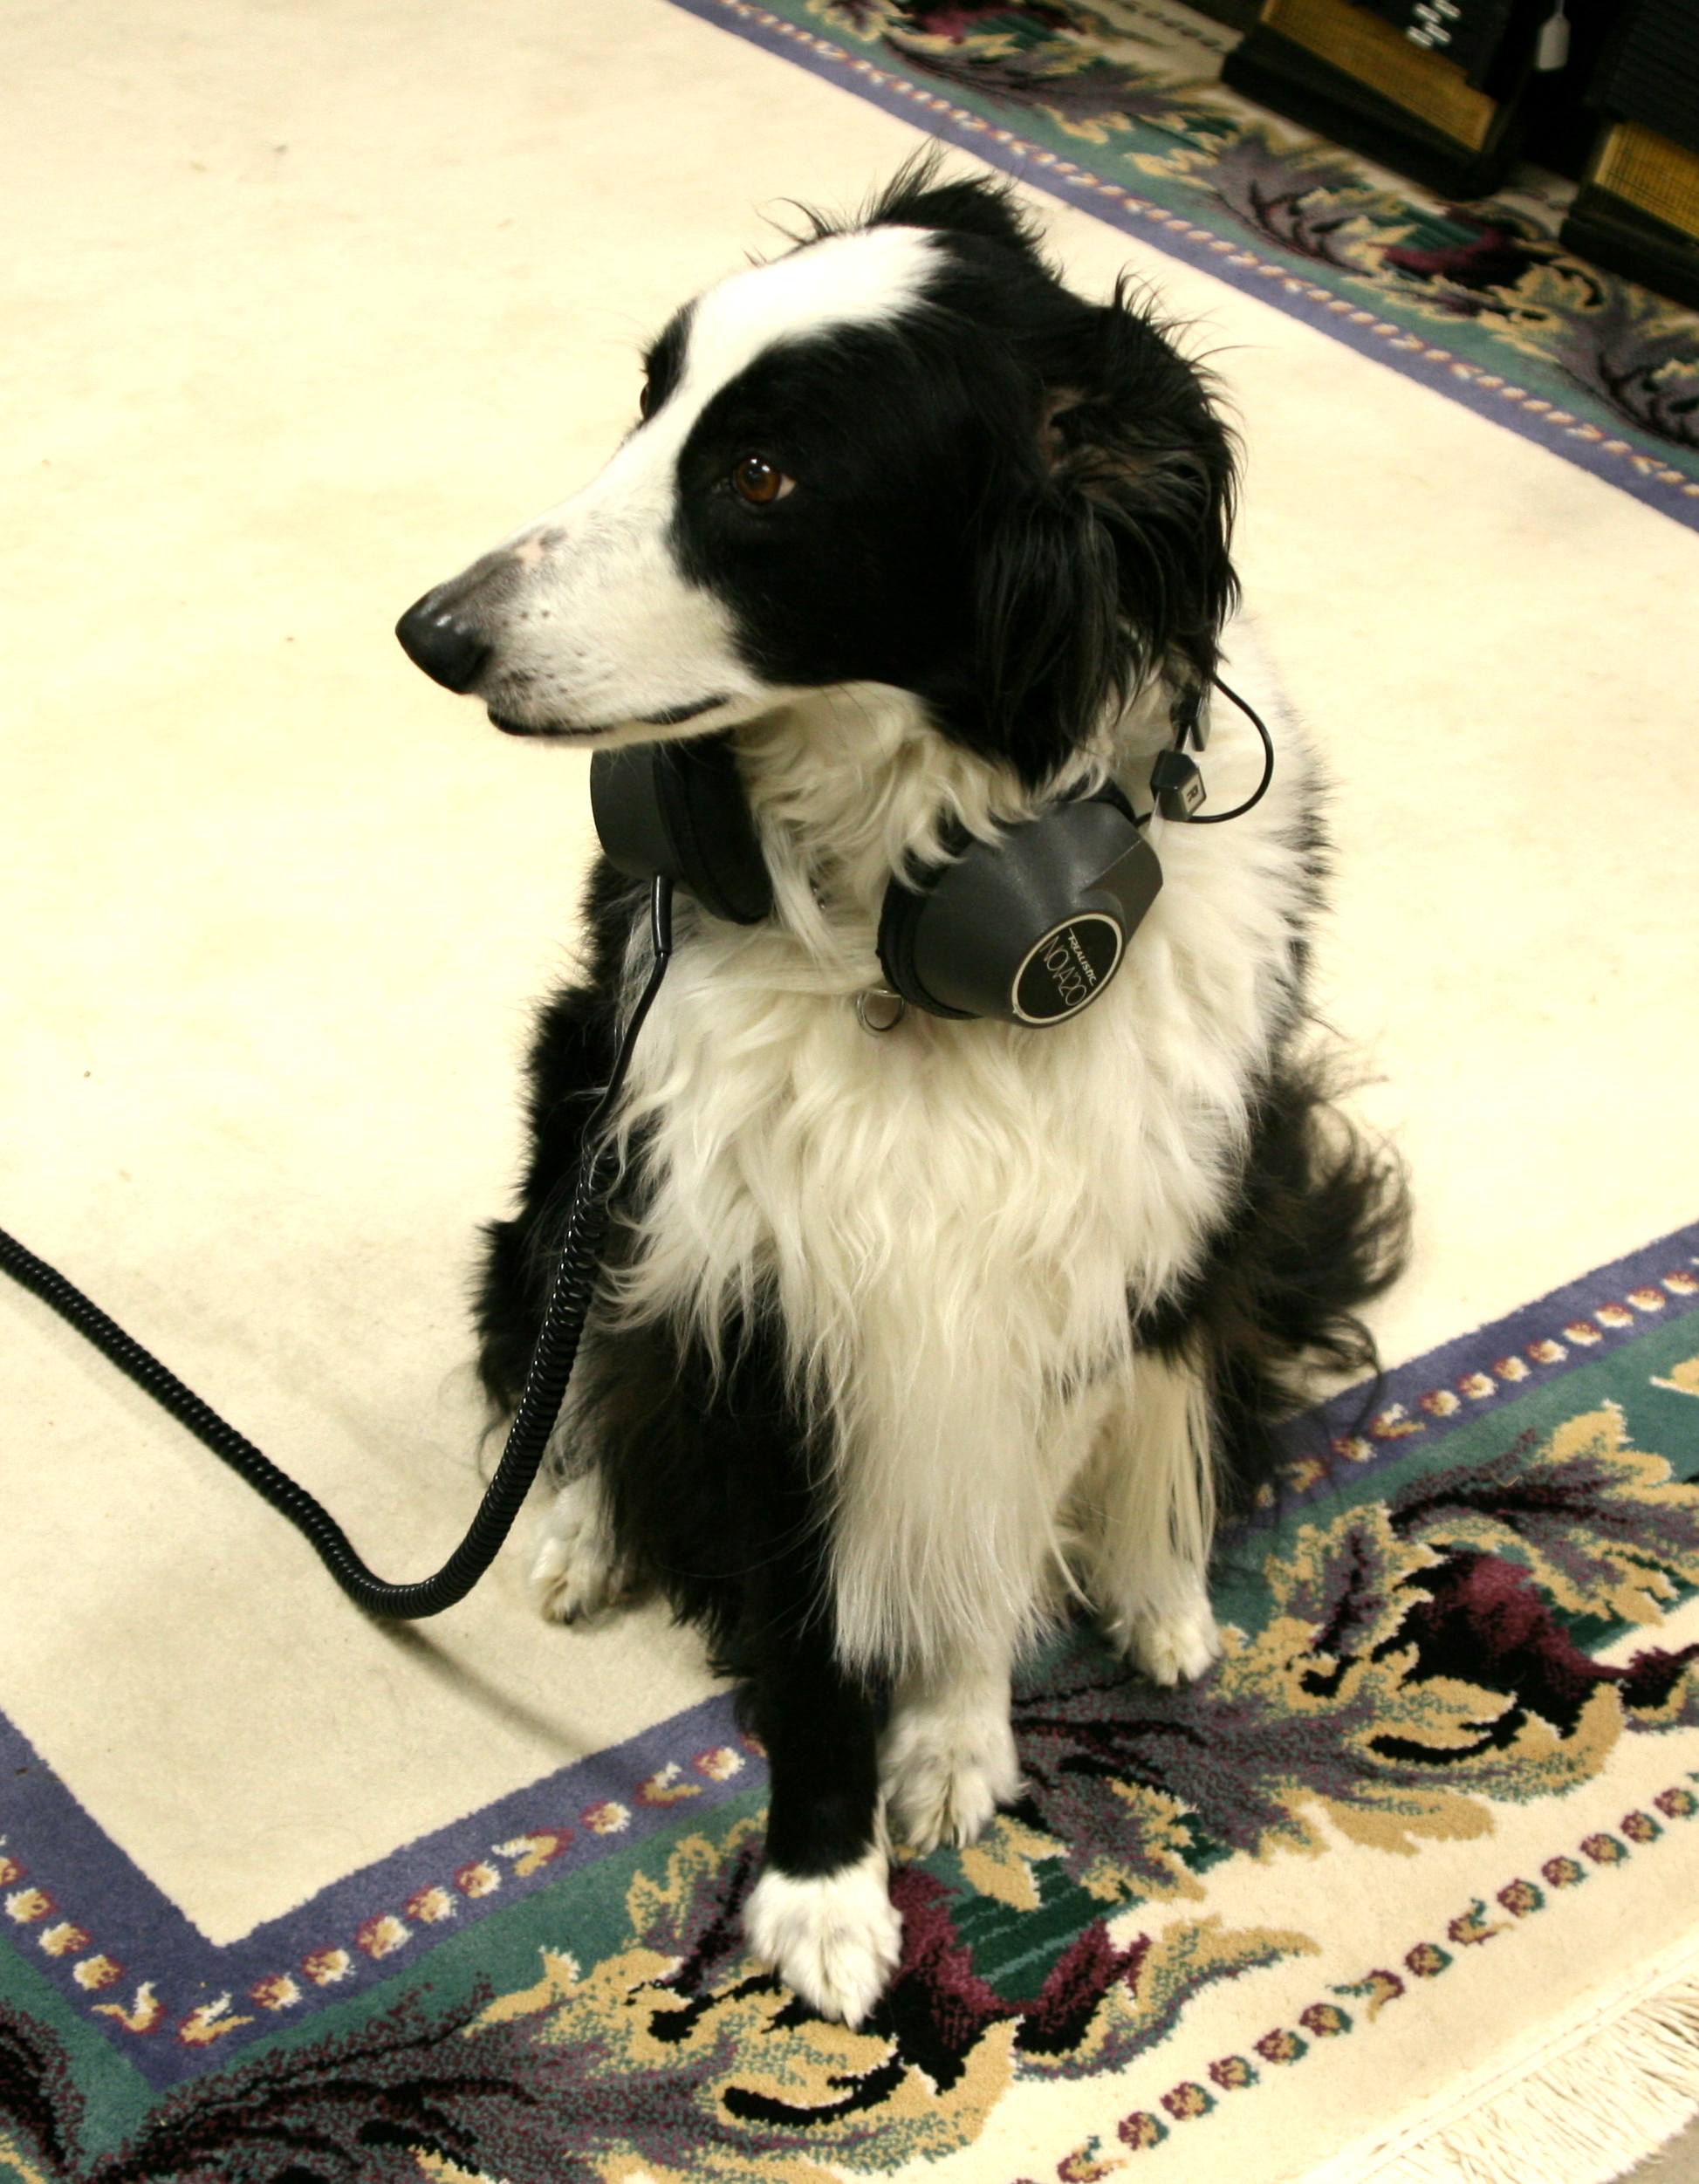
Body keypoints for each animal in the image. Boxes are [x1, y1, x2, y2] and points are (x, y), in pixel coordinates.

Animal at [397, 166, 1406, 2026]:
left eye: (762, 477)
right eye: (649, 402)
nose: (433, 631)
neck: (913, 924)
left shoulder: (1060, 1258)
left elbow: (987, 1532)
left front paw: (948, 1737)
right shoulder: (759, 1267)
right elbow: (808, 1614)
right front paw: (823, 1885)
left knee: (1185, 1373)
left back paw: (1160, 1584)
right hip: (574, 1146)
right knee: (562, 1360)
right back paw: (575, 1525)